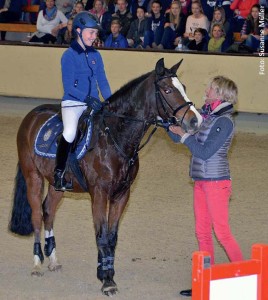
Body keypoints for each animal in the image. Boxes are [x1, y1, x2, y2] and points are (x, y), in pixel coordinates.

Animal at [8, 57, 202, 296]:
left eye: (183, 87)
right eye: (167, 90)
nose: (196, 121)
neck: (115, 137)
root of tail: (32, 115)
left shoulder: (122, 195)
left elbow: (112, 237)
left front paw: (106, 272)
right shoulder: (99, 194)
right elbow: (101, 235)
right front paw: (107, 281)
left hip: (57, 185)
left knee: (48, 212)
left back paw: (53, 260)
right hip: (32, 176)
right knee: (36, 215)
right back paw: (37, 264)